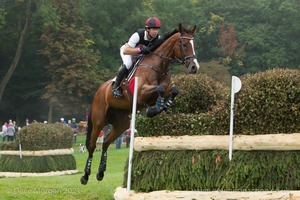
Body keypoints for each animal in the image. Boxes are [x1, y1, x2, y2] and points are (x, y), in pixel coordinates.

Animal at [81, 23, 200, 184]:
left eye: (194, 44)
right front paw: (154, 109)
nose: (194, 67)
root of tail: (99, 90)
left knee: (105, 143)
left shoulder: (162, 91)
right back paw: (85, 176)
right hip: (99, 121)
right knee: (93, 145)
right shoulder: (141, 92)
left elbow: (173, 89)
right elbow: (160, 88)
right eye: (184, 44)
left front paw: (163, 105)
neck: (159, 65)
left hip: (121, 124)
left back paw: (100, 172)